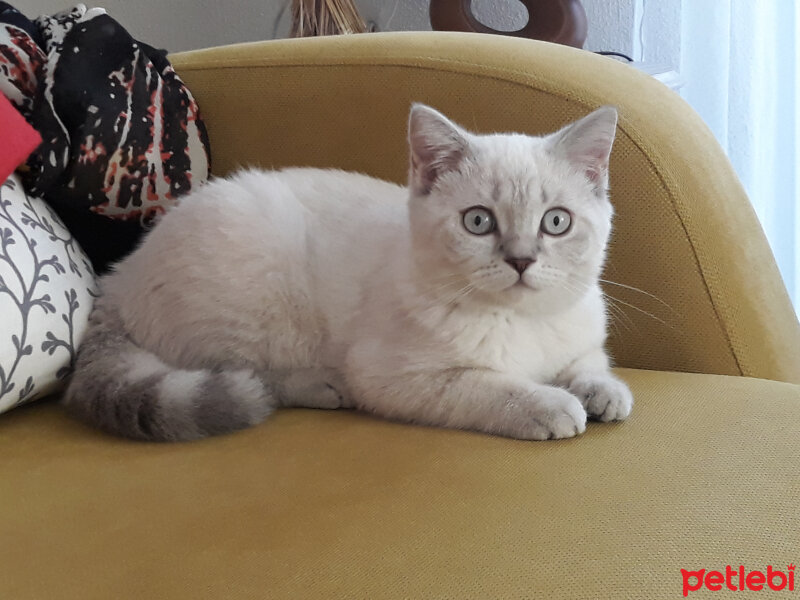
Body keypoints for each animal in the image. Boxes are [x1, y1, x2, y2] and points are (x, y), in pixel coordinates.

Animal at [64, 103, 632, 440]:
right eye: (478, 221)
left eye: (556, 222)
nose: (520, 259)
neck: (521, 322)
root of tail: (118, 278)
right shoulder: (393, 376)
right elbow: (483, 387)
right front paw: (548, 405)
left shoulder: (581, 337)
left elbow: (588, 362)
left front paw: (602, 391)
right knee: (247, 373)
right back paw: (321, 386)